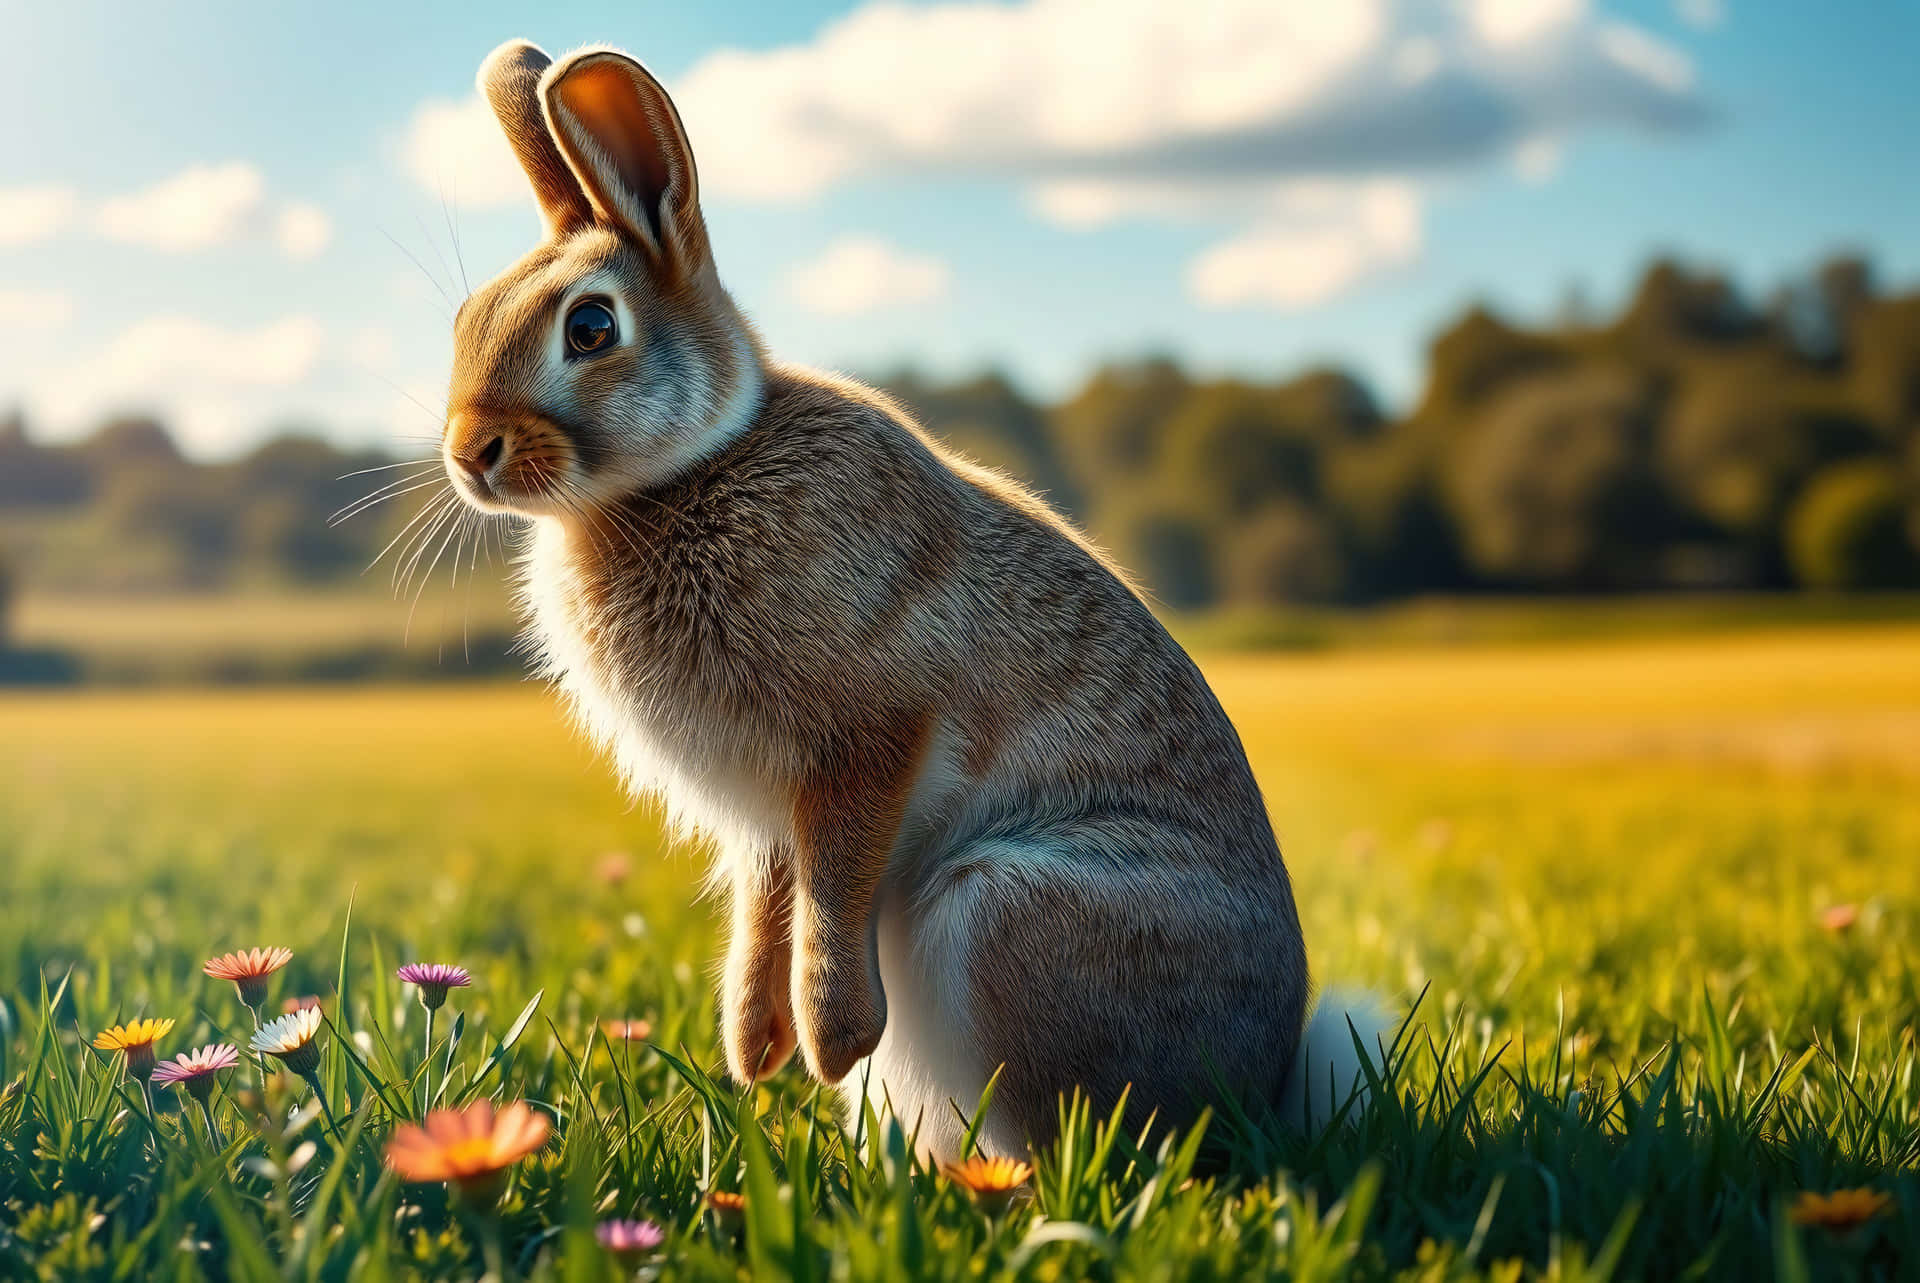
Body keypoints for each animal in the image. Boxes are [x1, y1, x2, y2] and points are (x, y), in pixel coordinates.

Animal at [441, 38, 1385, 1160]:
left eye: (590, 327)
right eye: (462, 320)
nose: (468, 452)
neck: (686, 469)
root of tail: (1257, 1085)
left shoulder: (874, 735)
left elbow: (835, 890)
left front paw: (830, 1039)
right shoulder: (767, 819)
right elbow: (768, 909)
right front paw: (755, 1049)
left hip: (1003, 909)